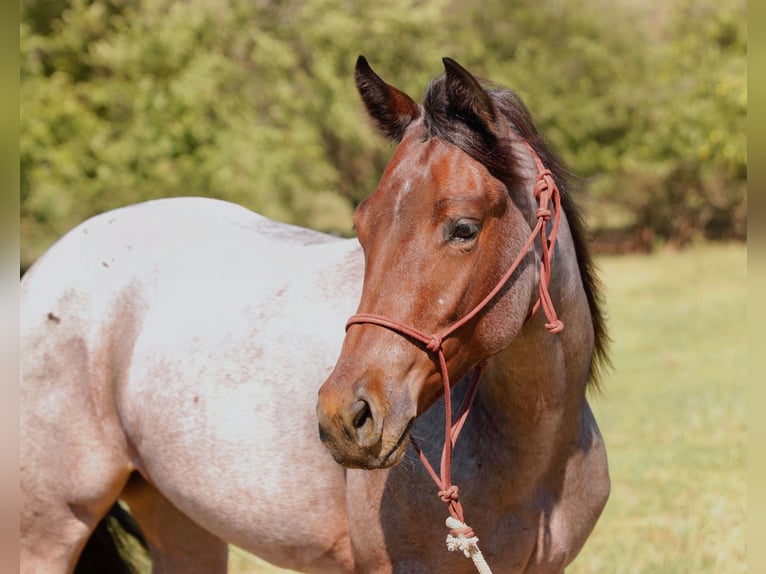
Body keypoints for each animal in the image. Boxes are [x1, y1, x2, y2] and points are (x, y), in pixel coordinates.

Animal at [20, 56, 610, 573]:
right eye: (362, 226)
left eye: (464, 228)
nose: (343, 416)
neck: (532, 458)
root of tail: (46, 265)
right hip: (47, 532)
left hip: (181, 521)